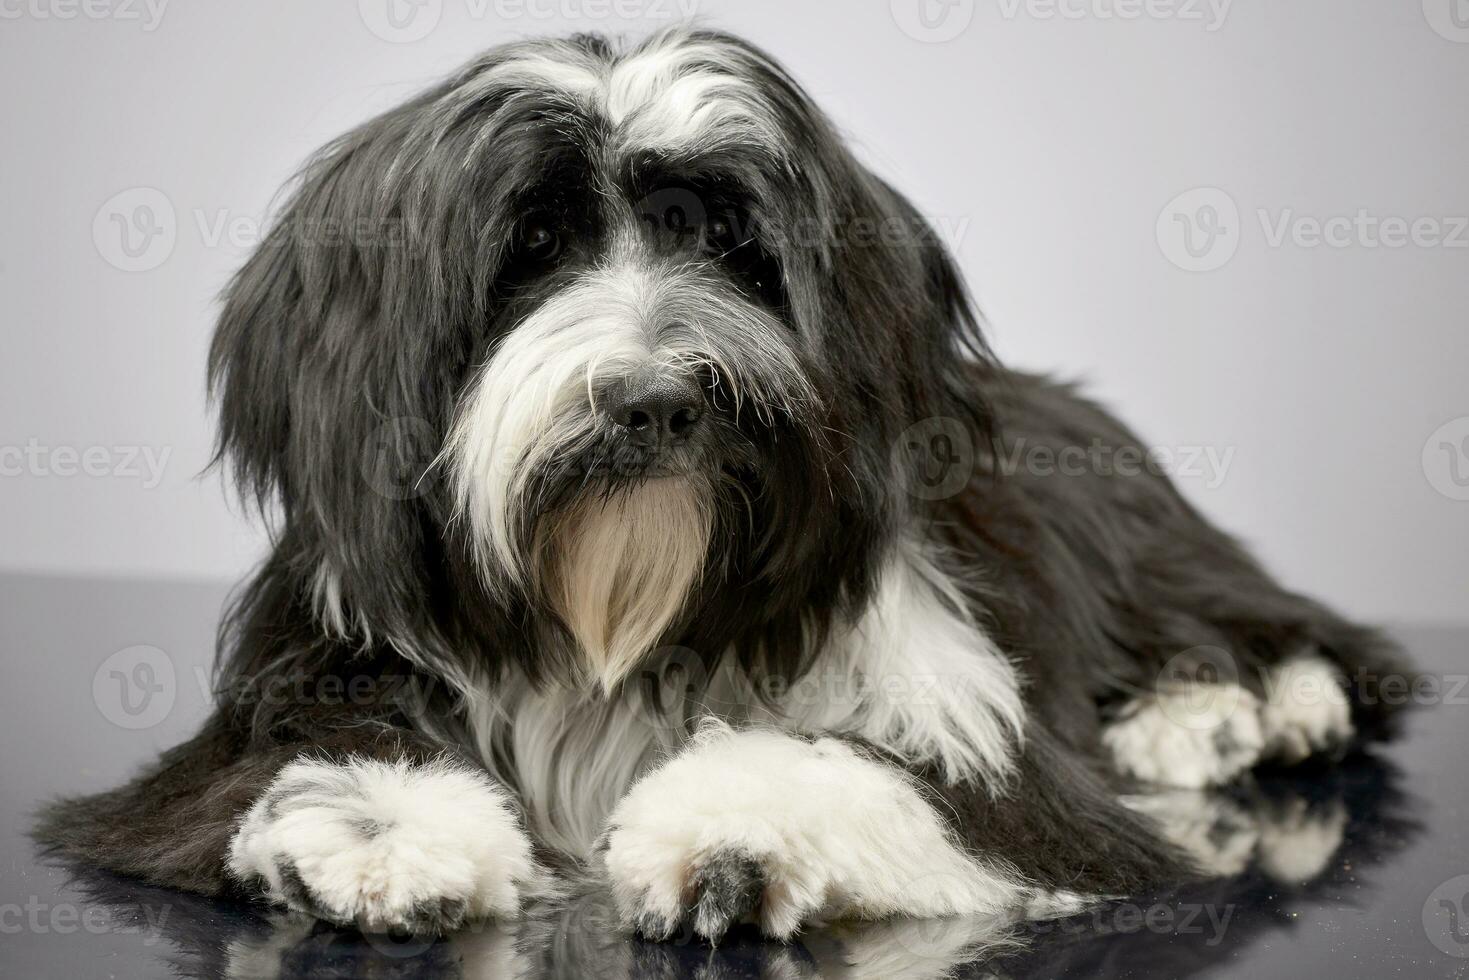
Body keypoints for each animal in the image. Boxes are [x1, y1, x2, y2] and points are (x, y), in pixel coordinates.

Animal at [40, 24, 1404, 940]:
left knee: (1278, 629)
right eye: (533, 244)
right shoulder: (312, 656)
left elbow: (887, 767)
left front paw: (736, 822)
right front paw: (379, 825)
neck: (618, 616)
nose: (655, 398)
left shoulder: (986, 751)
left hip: (1142, 547)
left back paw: (1241, 707)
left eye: (725, 240)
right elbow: (287, 749)